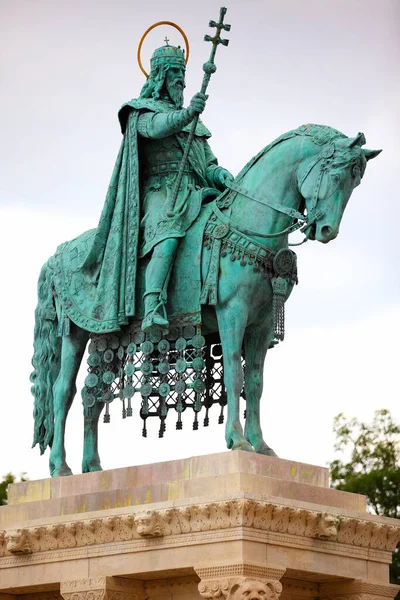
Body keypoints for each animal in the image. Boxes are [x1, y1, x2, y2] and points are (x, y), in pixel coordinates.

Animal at [31, 124, 382, 476]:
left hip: (109, 336)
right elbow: (235, 373)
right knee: (63, 391)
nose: (326, 230)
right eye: (336, 175)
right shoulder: (232, 313)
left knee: (93, 394)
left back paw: (91, 466)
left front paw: (261, 446)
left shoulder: (262, 325)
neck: (248, 224)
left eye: (355, 182)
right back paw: (60, 467)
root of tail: (58, 254)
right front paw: (237, 441)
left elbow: (255, 383)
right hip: (75, 333)